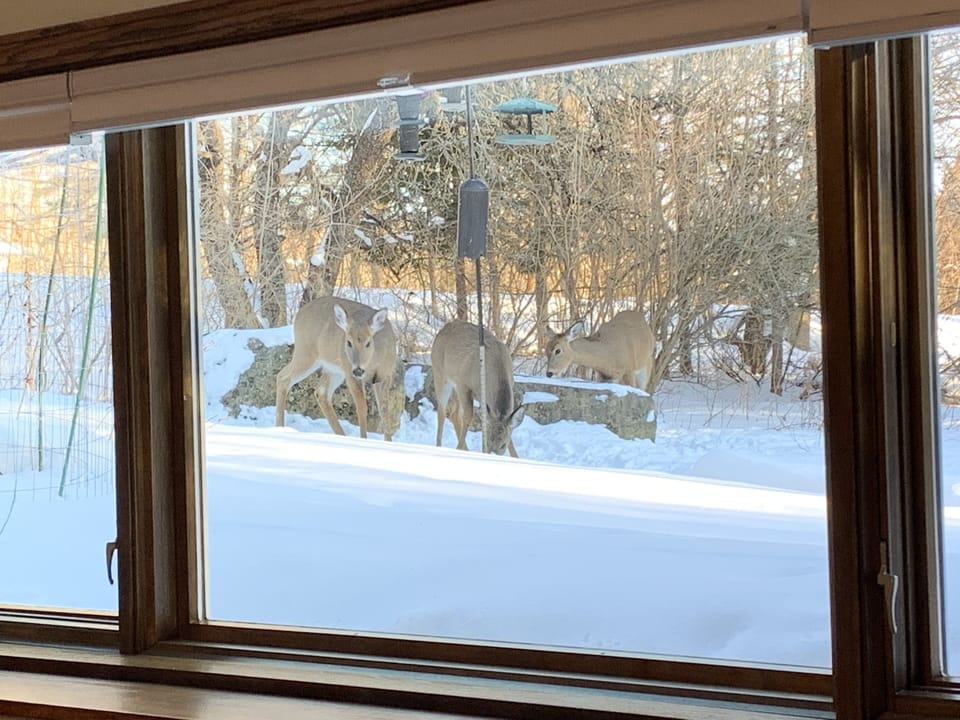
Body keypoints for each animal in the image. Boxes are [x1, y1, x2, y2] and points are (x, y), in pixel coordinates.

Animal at [275, 296, 399, 440]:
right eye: (348, 342)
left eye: (368, 343)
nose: (358, 369)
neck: (372, 363)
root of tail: (299, 314)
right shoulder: (350, 374)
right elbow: (362, 408)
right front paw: (363, 439)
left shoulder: (385, 375)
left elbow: (384, 410)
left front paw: (388, 442)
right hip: (307, 353)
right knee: (283, 377)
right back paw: (279, 428)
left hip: (333, 369)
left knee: (321, 391)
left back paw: (341, 435)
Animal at [431, 319, 525, 457]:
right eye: (487, 442)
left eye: (503, 445)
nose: (492, 454)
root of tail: (442, 329)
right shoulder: (463, 383)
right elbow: (468, 416)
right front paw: (458, 449)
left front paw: (516, 457)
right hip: (440, 374)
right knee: (442, 411)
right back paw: (439, 446)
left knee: (454, 414)